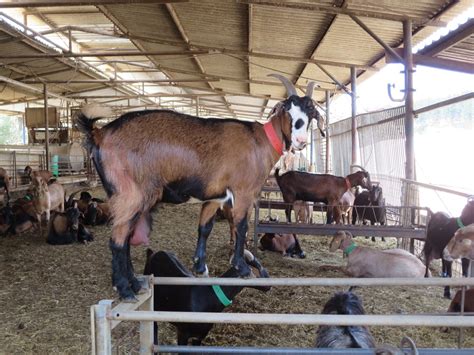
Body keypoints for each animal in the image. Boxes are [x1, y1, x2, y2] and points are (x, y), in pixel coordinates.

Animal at [75, 76, 322, 304]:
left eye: (310, 113)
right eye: (287, 109)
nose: (301, 141)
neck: (259, 140)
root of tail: (99, 133)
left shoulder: (215, 196)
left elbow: (204, 228)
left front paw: (200, 267)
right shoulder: (243, 191)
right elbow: (241, 226)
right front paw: (241, 267)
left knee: (125, 237)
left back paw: (135, 284)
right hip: (132, 194)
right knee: (117, 239)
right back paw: (125, 290)